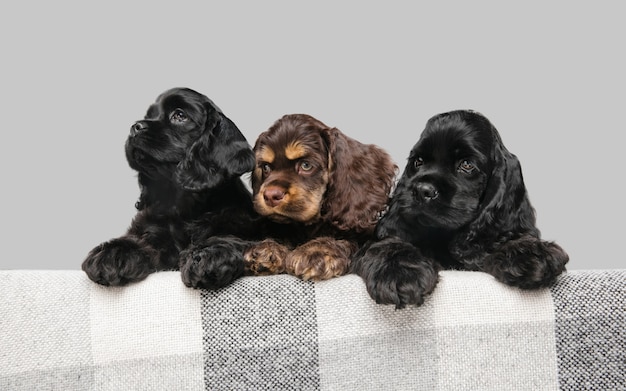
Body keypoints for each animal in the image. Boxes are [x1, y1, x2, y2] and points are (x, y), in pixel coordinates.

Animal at [81, 89, 255, 290]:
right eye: (149, 115)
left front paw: (208, 255)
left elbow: (228, 237)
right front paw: (113, 252)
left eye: (179, 115)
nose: (135, 127)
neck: (184, 203)